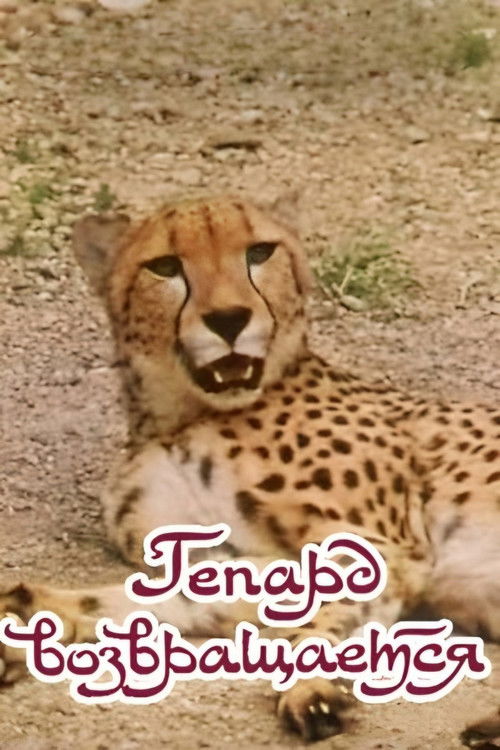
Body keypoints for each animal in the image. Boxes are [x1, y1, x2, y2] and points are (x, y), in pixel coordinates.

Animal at [1, 195, 499, 744]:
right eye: (165, 266)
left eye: (259, 253)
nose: (228, 319)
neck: (183, 416)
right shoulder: (239, 558)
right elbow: (170, 599)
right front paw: (31, 614)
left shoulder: (383, 549)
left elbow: (322, 619)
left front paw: (309, 688)